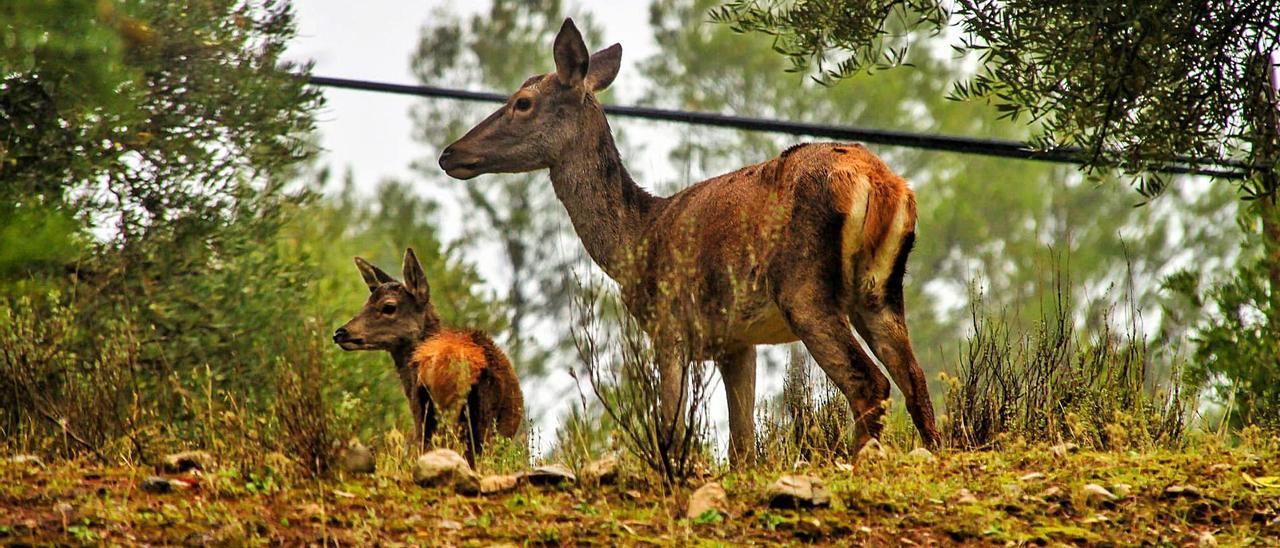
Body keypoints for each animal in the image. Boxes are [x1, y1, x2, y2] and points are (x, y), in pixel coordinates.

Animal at [440, 17, 942, 463]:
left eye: (522, 102)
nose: (450, 153)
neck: (633, 240)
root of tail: (882, 184)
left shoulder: (669, 325)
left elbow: (670, 424)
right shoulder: (736, 341)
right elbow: (742, 446)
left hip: (805, 291)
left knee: (871, 383)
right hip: (880, 291)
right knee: (915, 382)